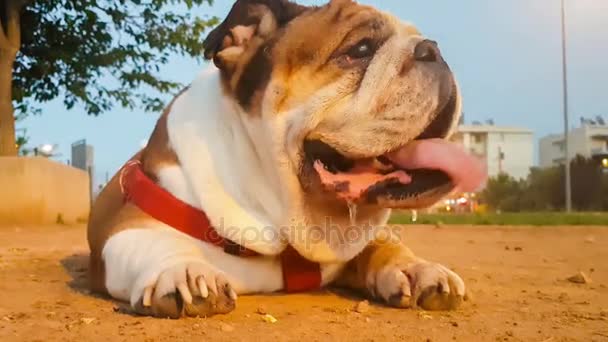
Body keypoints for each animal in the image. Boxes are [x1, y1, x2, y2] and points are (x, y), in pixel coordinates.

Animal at [86, 0, 484, 320]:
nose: (432, 50)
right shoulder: (125, 228)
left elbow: (386, 244)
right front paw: (184, 270)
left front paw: (418, 269)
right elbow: (156, 243)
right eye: (360, 49)